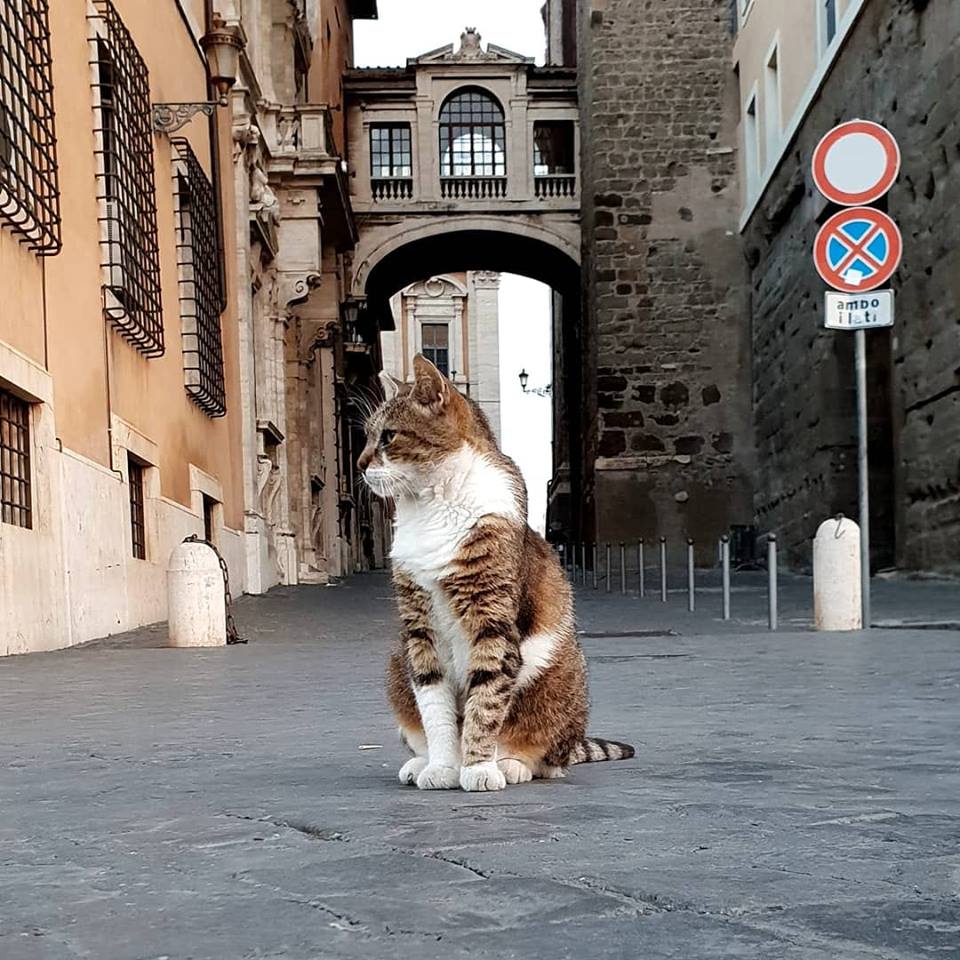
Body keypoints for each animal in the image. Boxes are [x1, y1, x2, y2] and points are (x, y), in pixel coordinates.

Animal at [356, 356, 632, 792]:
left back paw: (512, 763)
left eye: (387, 436)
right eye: (366, 436)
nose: (360, 464)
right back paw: (420, 763)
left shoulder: (492, 623)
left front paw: (479, 768)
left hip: (560, 678)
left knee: (548, 757)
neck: (432, 507)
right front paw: (443, 767)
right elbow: (434, 707)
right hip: (397, 663)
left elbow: (485, 705)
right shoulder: (419, 630)